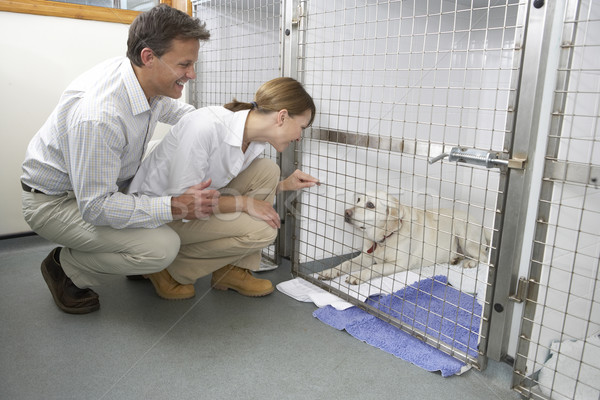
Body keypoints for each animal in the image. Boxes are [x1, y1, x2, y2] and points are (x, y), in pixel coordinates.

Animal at [316, 191, 490, 284]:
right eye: (358, 199)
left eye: (370, 205)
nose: (346, 212)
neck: (384, 239)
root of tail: (482, 225)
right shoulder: (365, 257)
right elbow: (345, 263)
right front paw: (331, 271)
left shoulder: (399, 264)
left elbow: (374, 268)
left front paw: (357, 275)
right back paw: (455, 259)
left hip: (466, 237)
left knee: (483, 257)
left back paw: (469, 262)